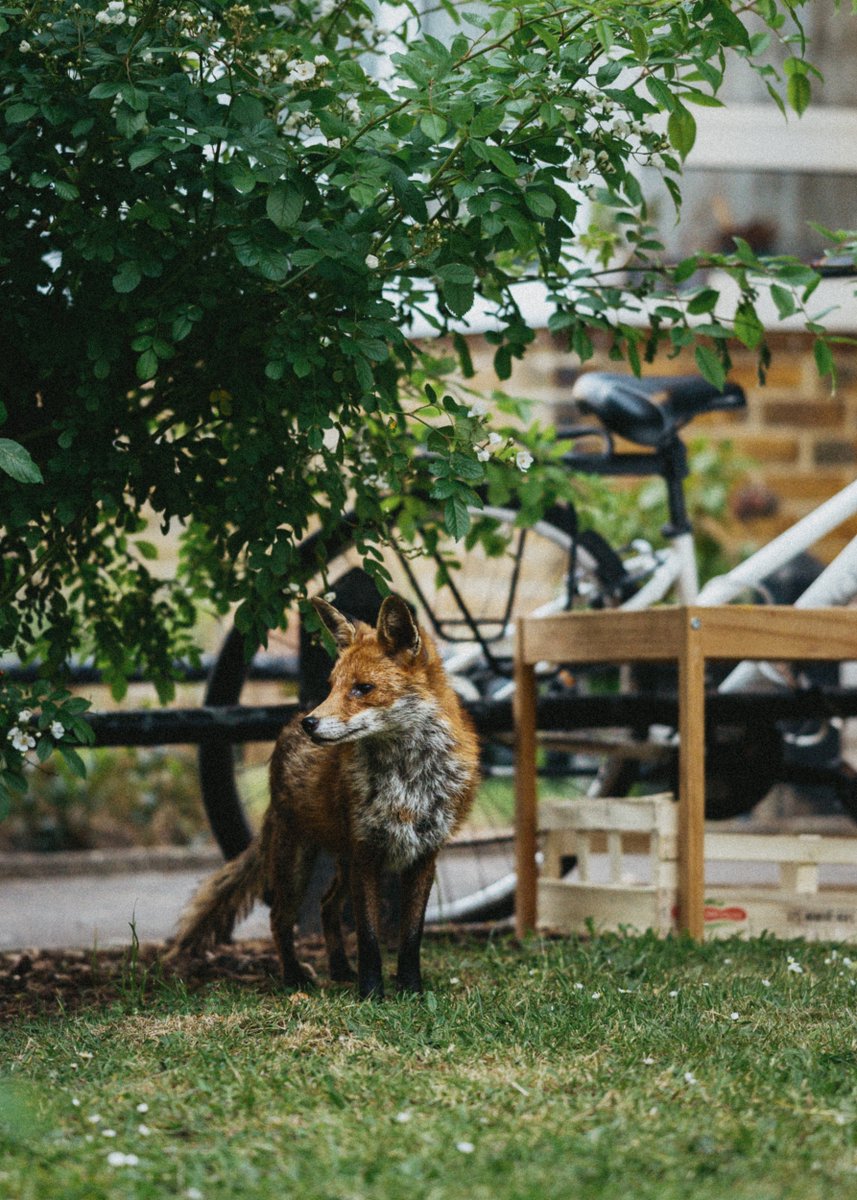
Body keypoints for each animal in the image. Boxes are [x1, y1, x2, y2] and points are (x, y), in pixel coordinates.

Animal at [169, 594, 480, 999]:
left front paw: (410, 990)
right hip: (297, 861)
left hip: (342, 863)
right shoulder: (367, 853)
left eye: (362, 688)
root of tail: (286, 729)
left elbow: (411, 937)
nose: (311, 723)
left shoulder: (423, 856)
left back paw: (340, 969)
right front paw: (371, 995)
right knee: (281, 918)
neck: (407, 778)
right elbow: (368, 938)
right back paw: (294, 976)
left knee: (327, 907)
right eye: (331, 686)